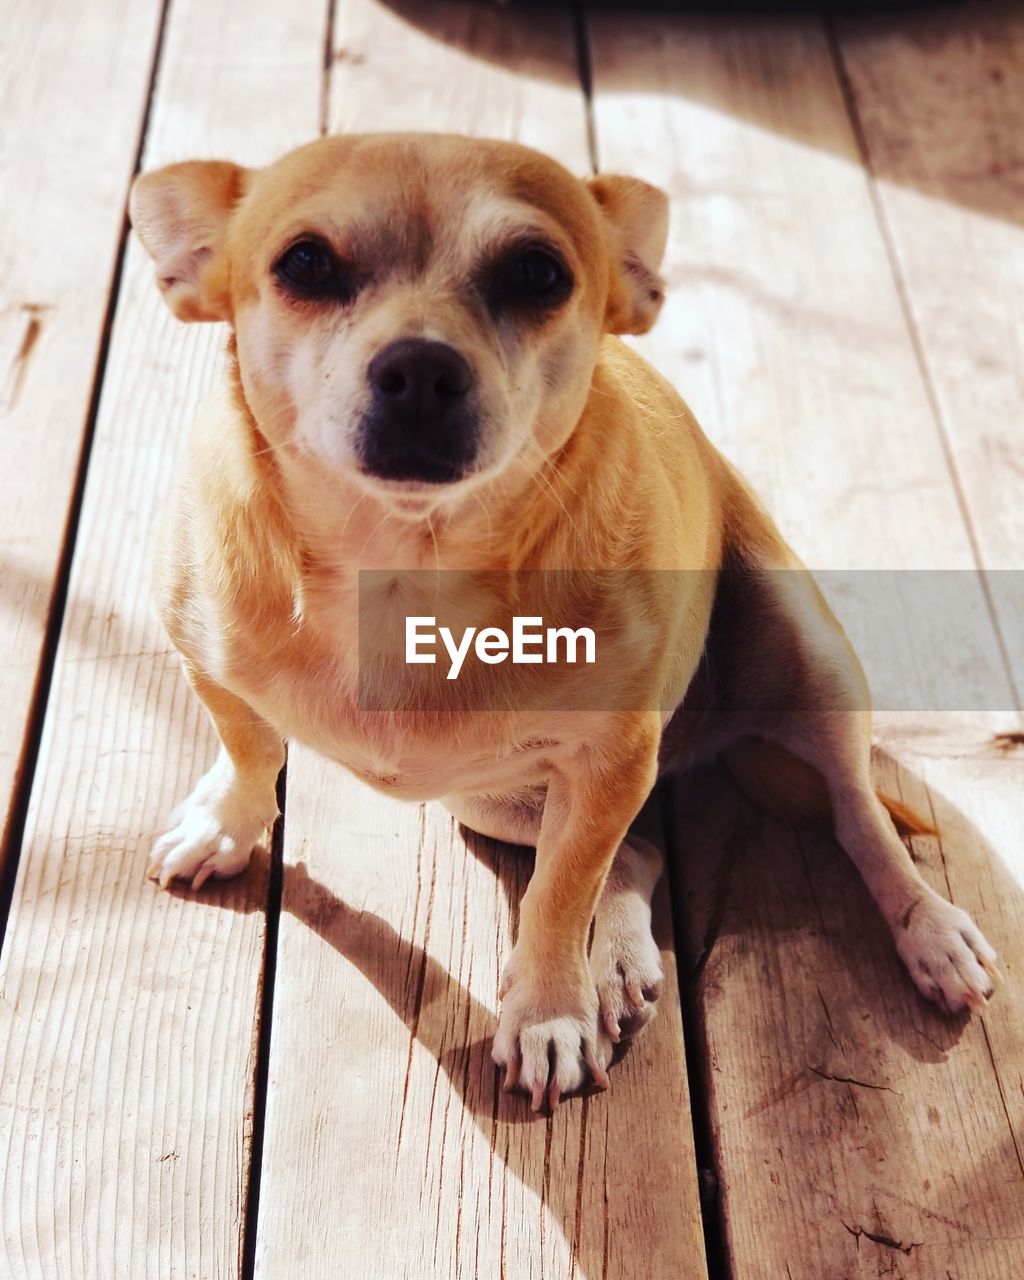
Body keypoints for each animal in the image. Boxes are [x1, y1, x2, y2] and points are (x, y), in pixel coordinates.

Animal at [129, 132, 998, 1111]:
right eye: (305, 264)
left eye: (537, 274)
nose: (421, 368)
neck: (403, 570)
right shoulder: (205, 661)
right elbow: (250, 749)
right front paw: (225, 823)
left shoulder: (611, 757)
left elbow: (555, 898)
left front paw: (546, 1013)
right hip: (495, 801)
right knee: (637, 850)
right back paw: (619, 962)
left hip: (812, 663)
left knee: (854, 815)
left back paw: (929, 931)